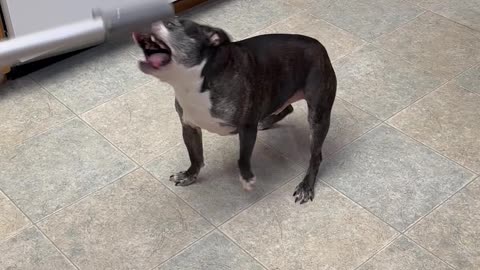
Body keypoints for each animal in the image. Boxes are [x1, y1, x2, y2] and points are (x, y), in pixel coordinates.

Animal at [133, 18, 336, 202]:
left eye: (172, 25)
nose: (148, 23)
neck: (195, 83)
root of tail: (318, 44)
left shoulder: (246, 128)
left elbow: (242, 158)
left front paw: (247, 178)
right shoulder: (189, 126)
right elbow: (195, 155)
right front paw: (189, 175)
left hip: (318, 115)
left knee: (316, 155)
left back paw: (306, 186)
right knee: (288, 108)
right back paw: (266, 121)